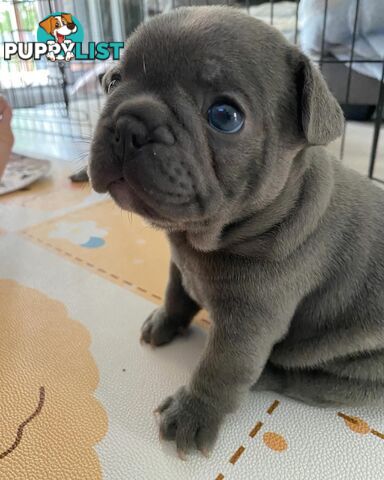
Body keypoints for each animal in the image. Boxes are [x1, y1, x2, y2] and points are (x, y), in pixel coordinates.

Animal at [88, 5, 384, 456]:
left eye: (224, 116)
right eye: (114, 81)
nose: (129, 124)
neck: (202, 239)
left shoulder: (249, 324)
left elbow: (221, 370)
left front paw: (191, 415)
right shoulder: (179, 267)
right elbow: (175, 295)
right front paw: (164, 322)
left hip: (361, 365)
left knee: (316, 382)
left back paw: (269, 377)